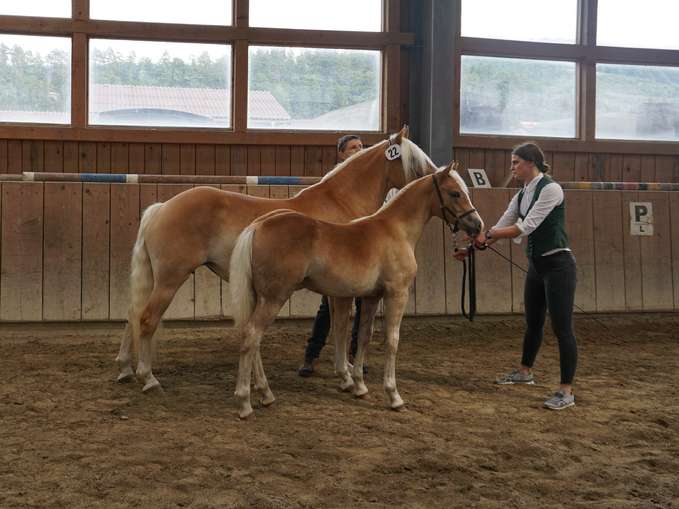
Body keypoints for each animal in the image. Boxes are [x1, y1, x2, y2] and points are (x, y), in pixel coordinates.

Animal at [119, 125, 438, 390]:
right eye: (417, 161)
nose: (438, 176)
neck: (339, 202)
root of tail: (163, 207)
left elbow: (337, 326)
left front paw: (345, 370)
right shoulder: (340, 290)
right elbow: (340, 325)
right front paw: (347, 374)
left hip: (156, 279)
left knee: (133, 313)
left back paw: (125, 368)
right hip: (170, 279)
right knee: (146, 318)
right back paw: (148, 377)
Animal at [231, 162, 486, 416]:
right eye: (455, 193)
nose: (478, 225)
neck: (396, 230)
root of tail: (258, 225)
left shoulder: (371, 297)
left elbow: (364, 336)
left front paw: (360, 386)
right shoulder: (397, 293)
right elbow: (392, 340)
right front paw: (393, 395)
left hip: (260, 298)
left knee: (253, 340)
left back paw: (265, 394)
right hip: (274, 297)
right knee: (251, 335)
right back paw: (244, 402)